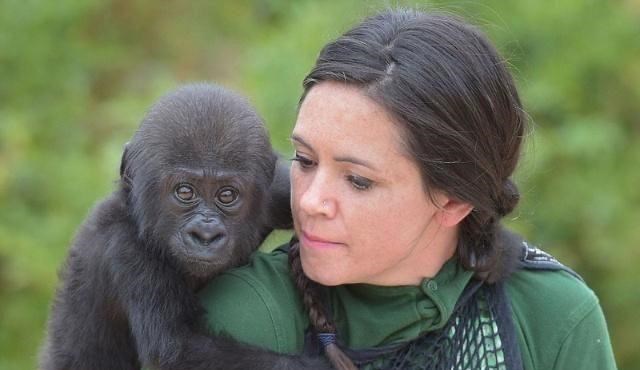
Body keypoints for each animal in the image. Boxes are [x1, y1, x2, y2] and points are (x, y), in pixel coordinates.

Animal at [41, 84, 330, 370]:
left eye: (227, 195)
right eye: (184, 192)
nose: (205, 234)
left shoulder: (279, 192)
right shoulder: (126, 248)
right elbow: (177, 347)